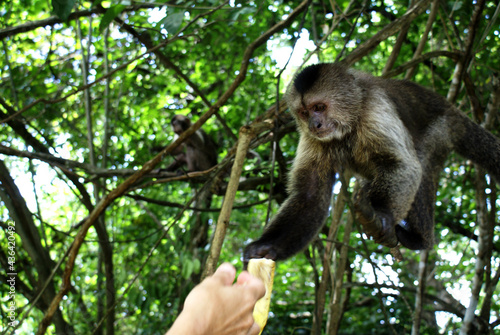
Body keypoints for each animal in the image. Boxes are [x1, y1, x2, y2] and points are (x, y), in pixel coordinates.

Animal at [244, 62, 500, 262]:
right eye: (304, 113)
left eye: (319, 107)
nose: (314, 124)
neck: (350, 121)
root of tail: (451, 109)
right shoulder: (312, 138)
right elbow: (310, 196)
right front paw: (267, 246)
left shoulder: (375, 108)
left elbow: (402, 165)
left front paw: (383, 214)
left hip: (440, 130)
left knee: (421, 166)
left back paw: (420, 239)